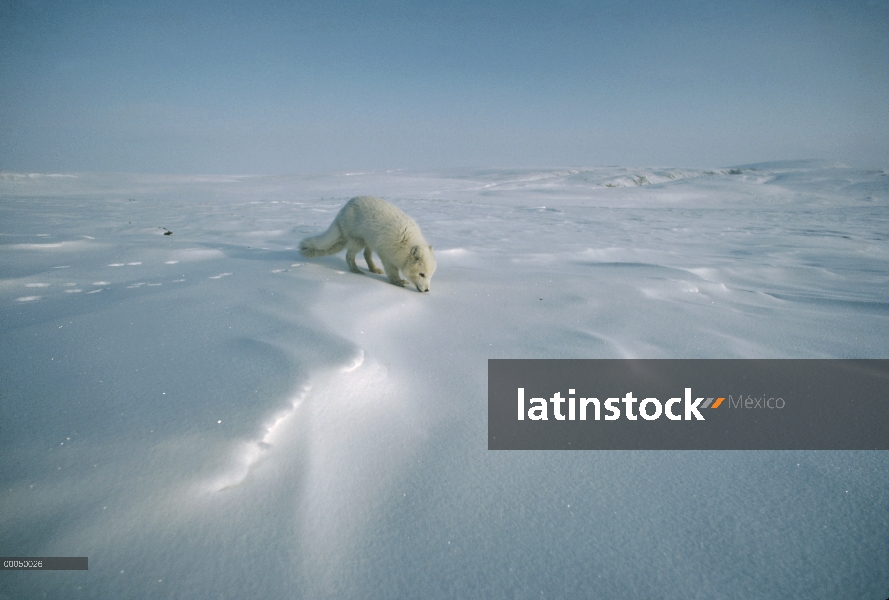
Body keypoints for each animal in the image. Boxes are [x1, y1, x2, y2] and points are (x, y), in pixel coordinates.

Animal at [300, 196, 436, 292]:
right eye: (421, 274)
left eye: (430, 275)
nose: (427, 290)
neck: (405, 242)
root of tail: (343, 208)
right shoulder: (386, 256)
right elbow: (392, 272)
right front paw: (397, 282)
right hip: (358, 241)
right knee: (349, 256)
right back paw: (355, 270)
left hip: (369, 241)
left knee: (366, 255)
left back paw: (373, 269)